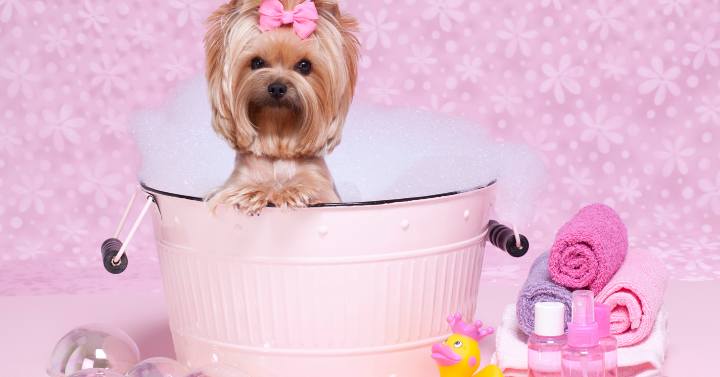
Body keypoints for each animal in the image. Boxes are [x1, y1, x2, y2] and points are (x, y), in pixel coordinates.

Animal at [204, 0, 358, 213]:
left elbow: (308, 189)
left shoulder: (323, 190)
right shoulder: (233, 185)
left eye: (304, 65)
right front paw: (254, 194)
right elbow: (237, 191)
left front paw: (290, 193)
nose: (277, 87)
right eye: (256, 62)